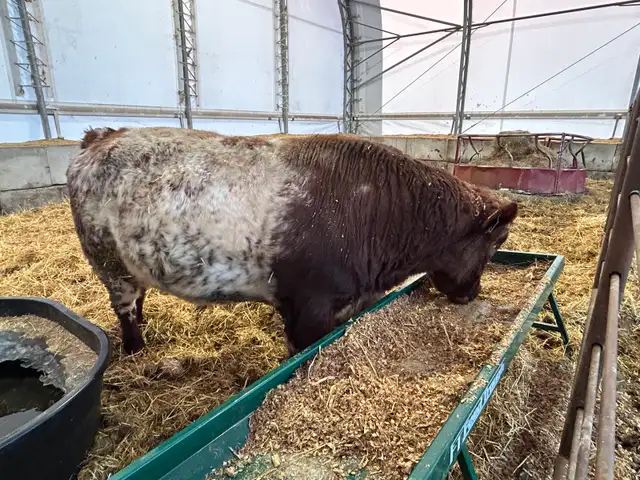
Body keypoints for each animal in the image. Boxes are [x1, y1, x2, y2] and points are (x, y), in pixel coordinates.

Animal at [66, 127, 518, 356]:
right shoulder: (307, 309)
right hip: (107, 261)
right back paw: (134, 346)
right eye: (497, 243)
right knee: (125, 306)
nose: (472, 293)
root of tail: (101, 136)